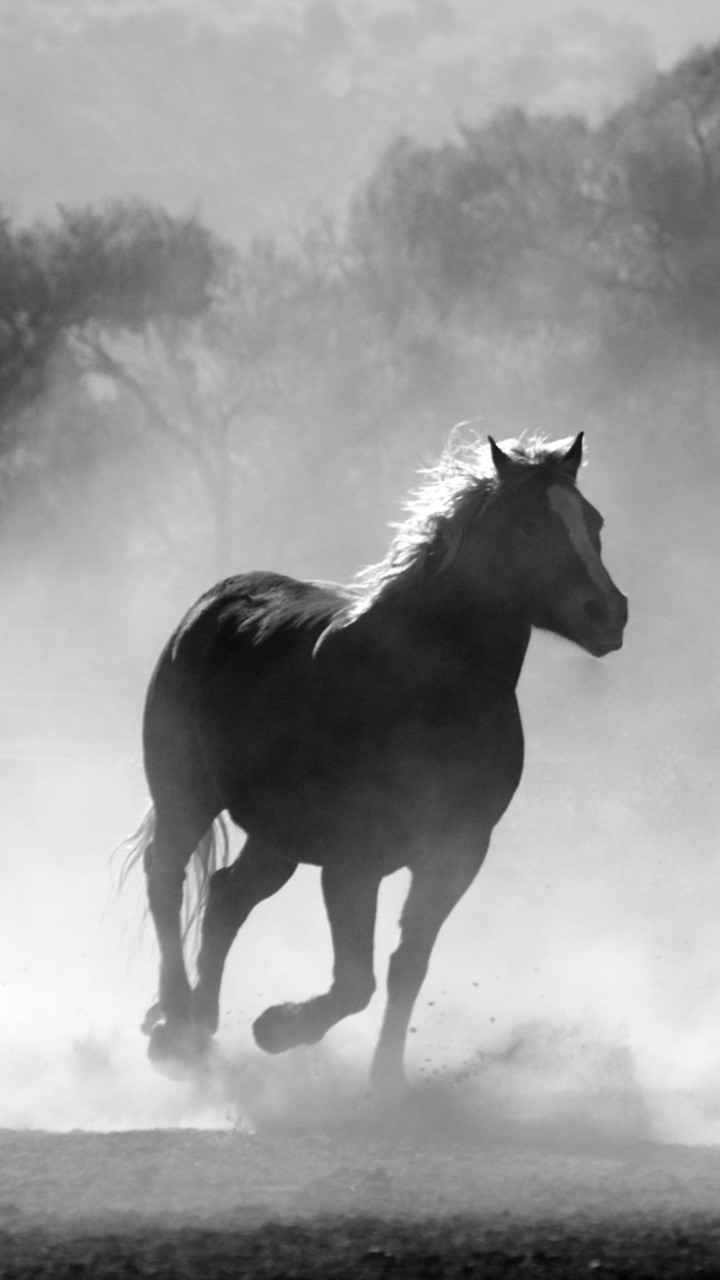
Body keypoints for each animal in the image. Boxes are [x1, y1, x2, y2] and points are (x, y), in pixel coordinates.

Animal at [125, 431, 627, 1097]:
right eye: (527, 526)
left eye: (593, 521)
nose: (609, 613)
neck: (425, 691)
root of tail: (212, 604)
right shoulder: (352, 861)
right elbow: (355, 981)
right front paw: (277, 1028)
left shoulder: (456, 853)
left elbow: (406, 966)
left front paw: (386, 1081)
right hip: (186, 795)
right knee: (167, 879)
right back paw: (175, 1027)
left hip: (277, 836)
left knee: (227, 895)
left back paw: (202, 1027)